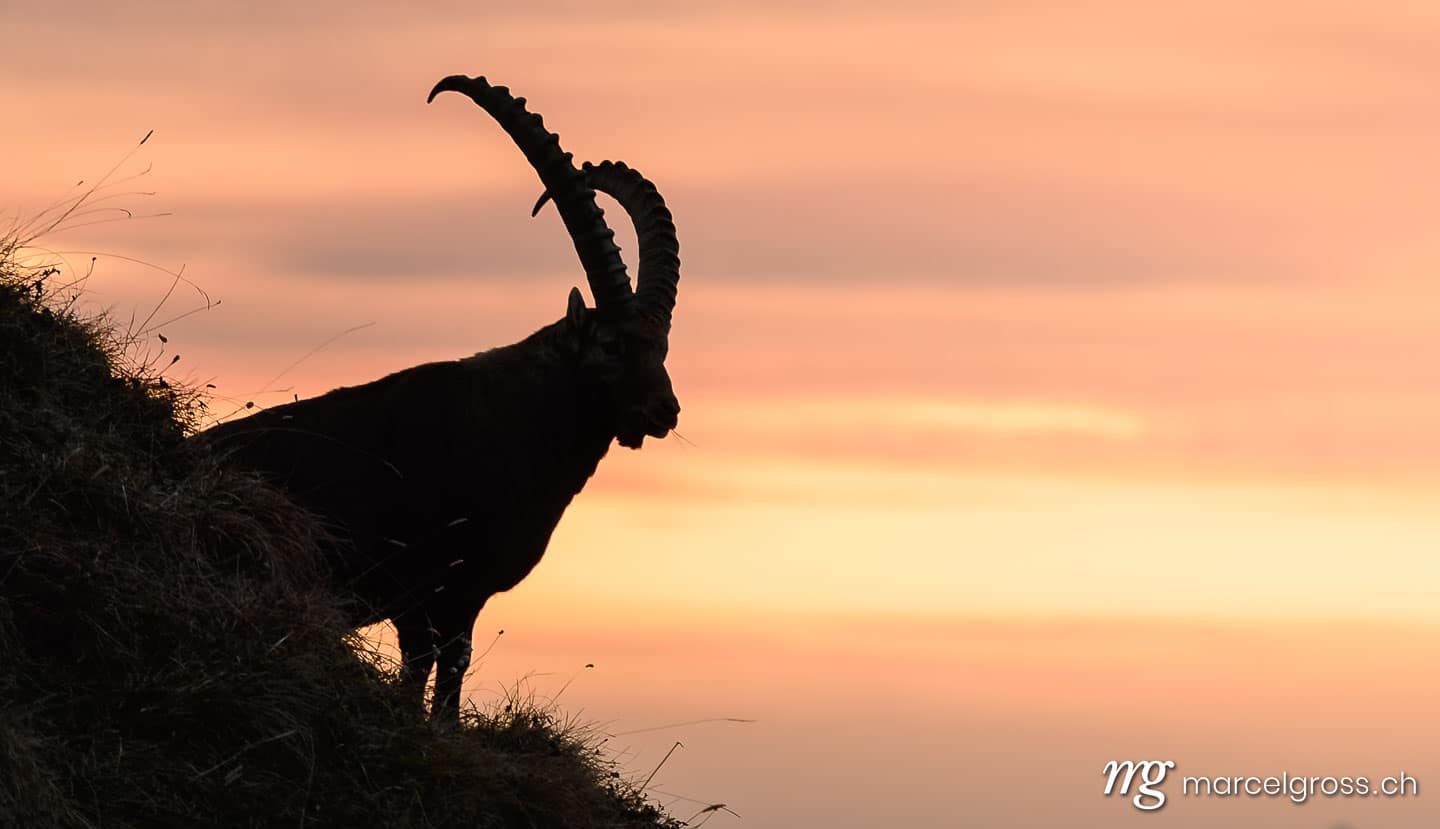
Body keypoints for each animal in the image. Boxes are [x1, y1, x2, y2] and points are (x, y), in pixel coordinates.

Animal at [199, 75, 682, 724]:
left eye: (661, 346)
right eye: (609, 344)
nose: (665, 411)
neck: (518, 425)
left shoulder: (462, 594)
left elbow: (445, 666)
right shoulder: (422, 584)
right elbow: (428, 666)